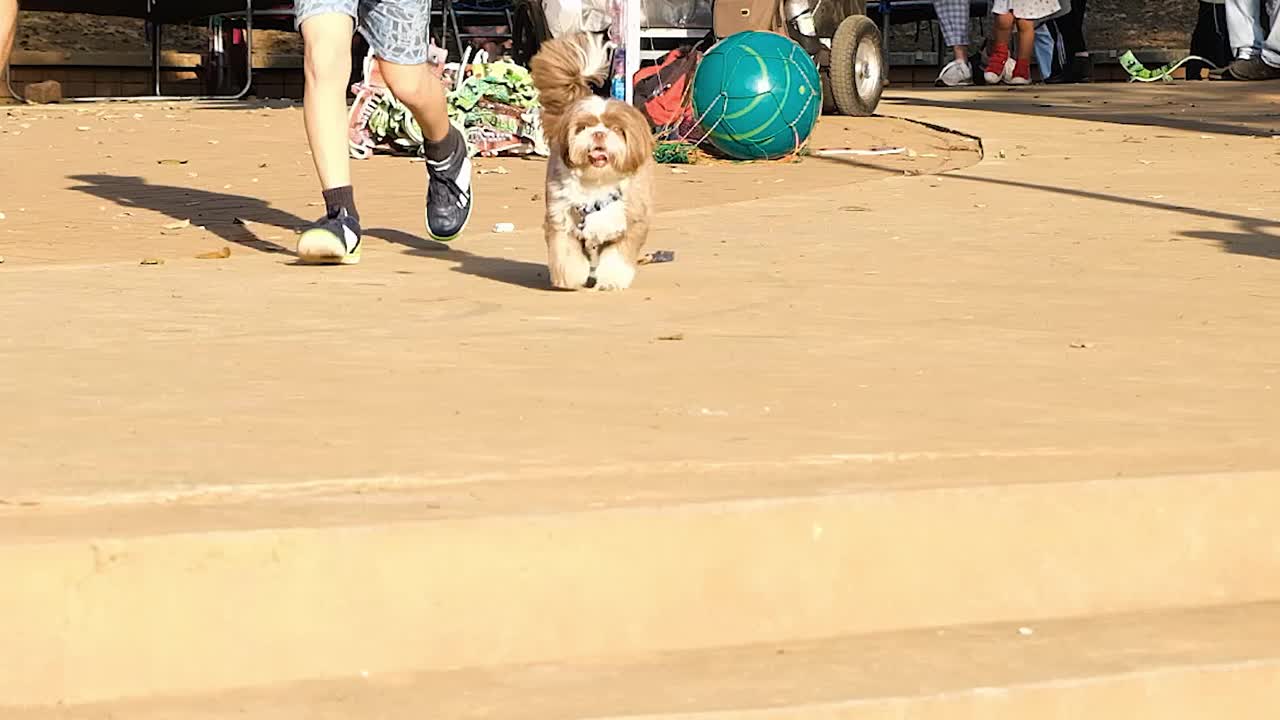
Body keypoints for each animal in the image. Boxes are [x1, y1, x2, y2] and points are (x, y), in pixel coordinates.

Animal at [529, 30, 655, 288]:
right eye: (583, 127)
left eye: (616, 129)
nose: (598, 133)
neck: (597, 183)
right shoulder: (562, 219)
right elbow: (566, 255)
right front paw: (569, 277)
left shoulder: (629, 224)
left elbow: (617, 257)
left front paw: (612, 280)